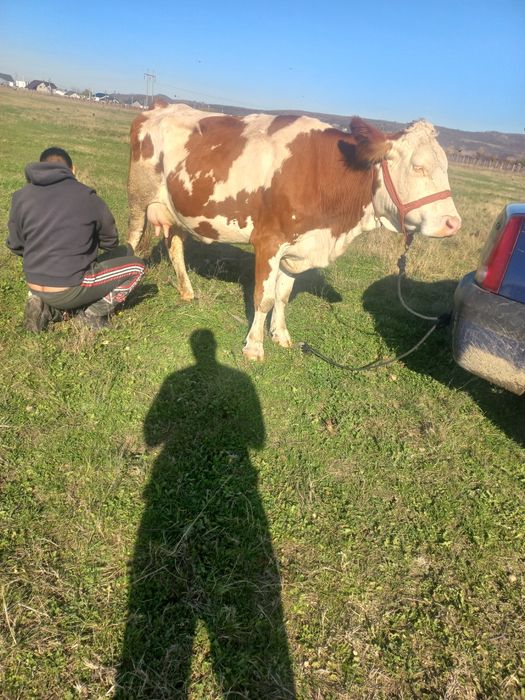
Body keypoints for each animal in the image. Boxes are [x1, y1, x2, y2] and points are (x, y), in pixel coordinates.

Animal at [127, 103, 461, 360]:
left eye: (446, 168)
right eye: (418, 167)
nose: (453, 223)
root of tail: (159, 107)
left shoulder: (298, 246)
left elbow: (283, 295)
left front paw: (281, 334)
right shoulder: (268, 242)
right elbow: (263, 297)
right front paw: (254, 347)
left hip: (176, 209)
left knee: (175, 245)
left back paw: (187, 291)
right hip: (138, 198)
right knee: (131, 243)